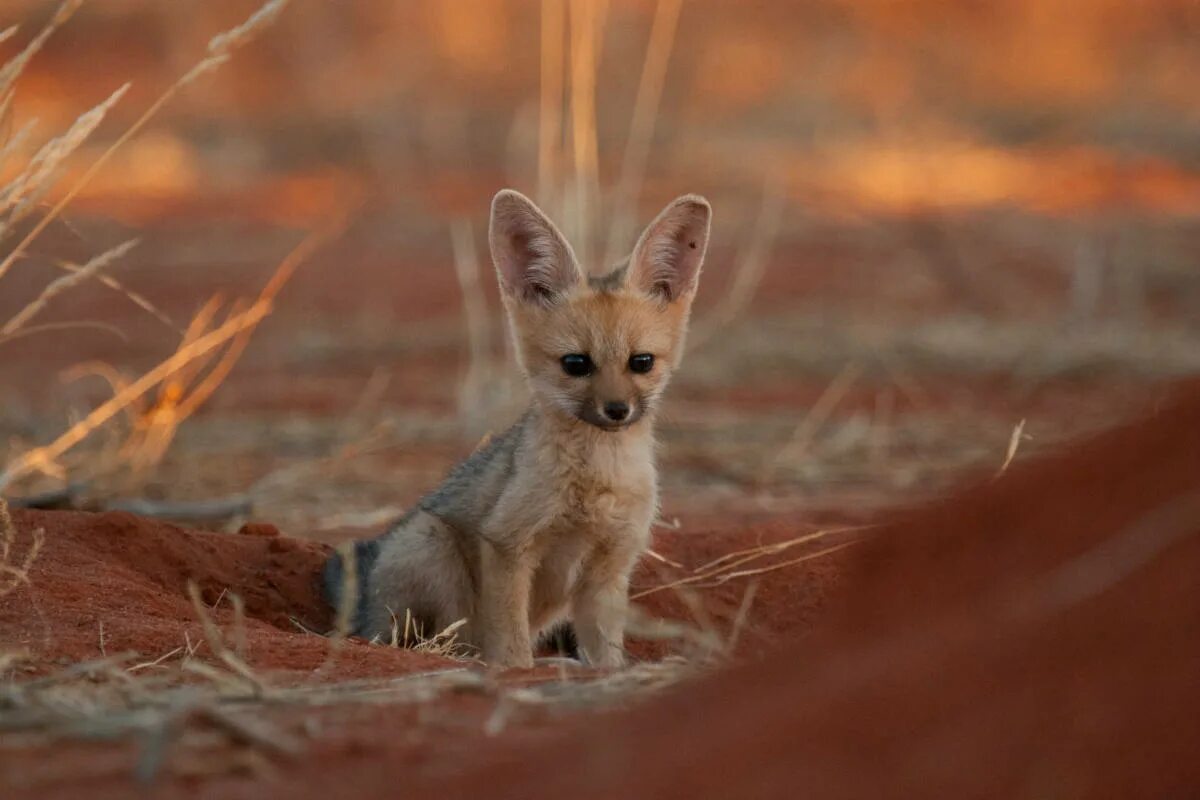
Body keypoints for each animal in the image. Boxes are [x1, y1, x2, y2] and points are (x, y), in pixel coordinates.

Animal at [321, 189, 710, 671]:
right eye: (576, 364)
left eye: (641, 362)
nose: (617, 410)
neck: (597, 480)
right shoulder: (508, 545)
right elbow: (511, 646)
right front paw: (517, 674)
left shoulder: (611, 567)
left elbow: (605, 653)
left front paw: (609, 674)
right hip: (432, 547)